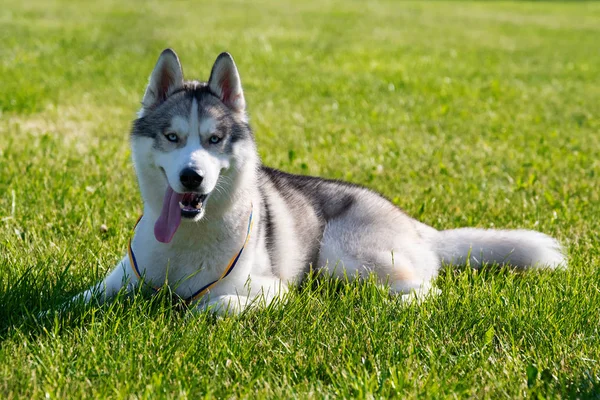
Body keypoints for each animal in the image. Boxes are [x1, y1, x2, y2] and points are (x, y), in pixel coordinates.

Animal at [74, 49, 564, 312]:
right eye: (172, 137)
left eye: (215, 140)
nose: (191, 177)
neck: (186, 241)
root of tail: (417, 225)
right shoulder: (121, 280)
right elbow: (80, 299)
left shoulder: (270, 288)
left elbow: (214, 305)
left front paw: (193, 311)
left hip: (340, 255)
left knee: (427, 288)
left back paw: (394, 305)